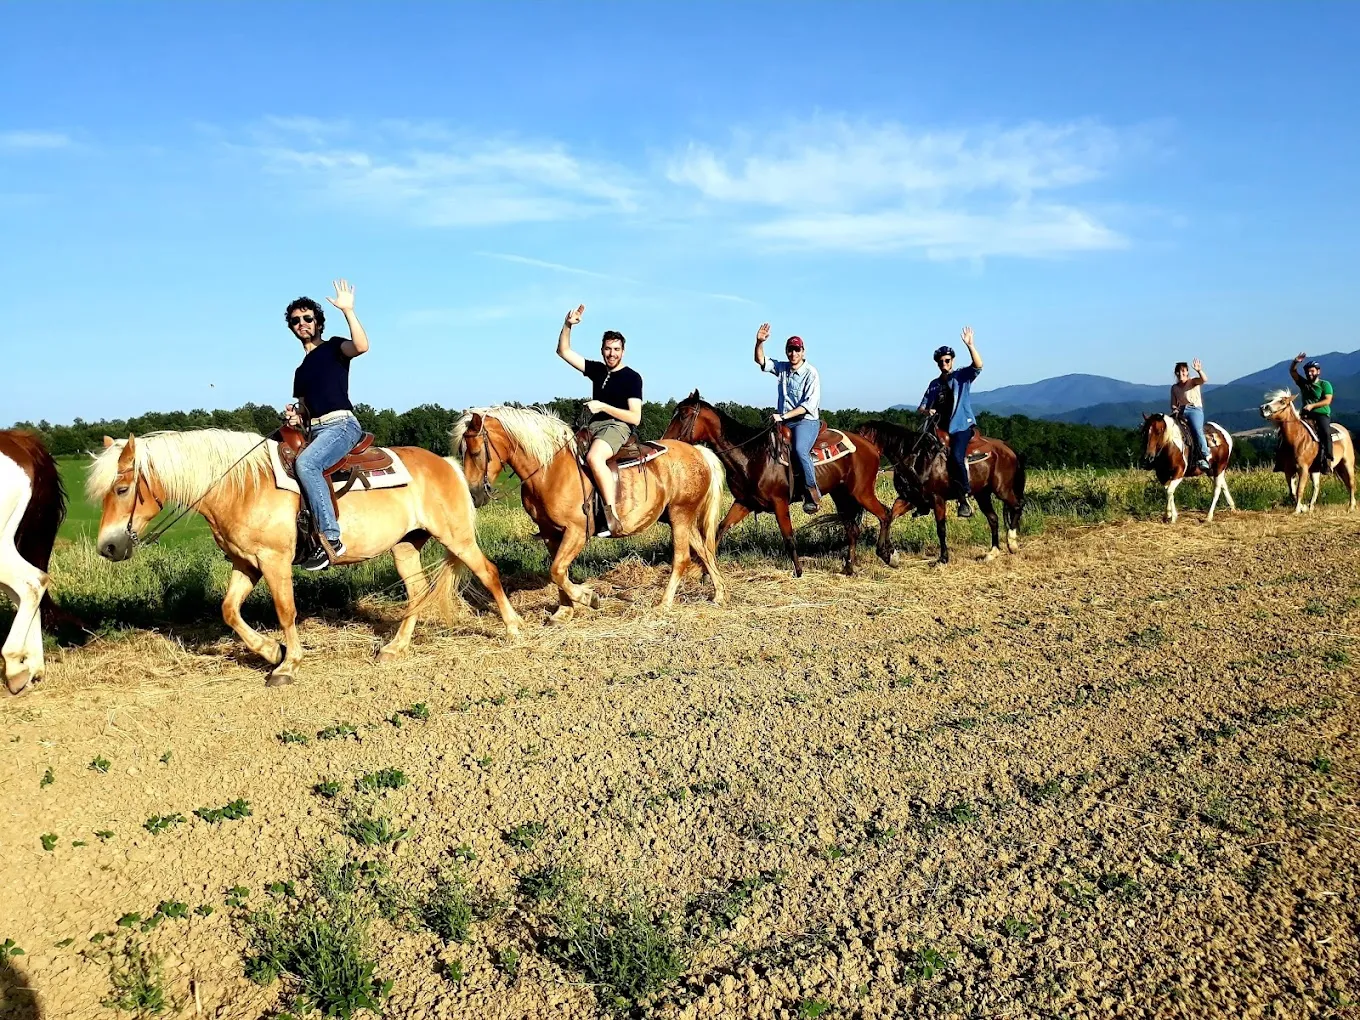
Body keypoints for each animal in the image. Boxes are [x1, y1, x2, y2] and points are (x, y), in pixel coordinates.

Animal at [87, 429, 522, 685]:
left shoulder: (274, 560)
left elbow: (285, 610)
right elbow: (229, 610)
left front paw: (287, 663)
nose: (108, 547)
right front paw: (270, 651)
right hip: (405, 546)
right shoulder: (246, 563)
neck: (242, 486)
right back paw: (395, 649)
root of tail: (444, 464)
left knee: (488, 572)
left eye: (122, 489)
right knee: (416, 594)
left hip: (457, 537)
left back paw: (514, 629)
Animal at [451, 406, 726, 621]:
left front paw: (587, 597)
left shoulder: (576, 532)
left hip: (680, 515)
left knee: (681, 558)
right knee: (704, 550)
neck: (551, 470)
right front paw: (564, 611)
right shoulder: (550, 532)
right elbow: (558, 571)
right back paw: (719, 593)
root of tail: (698, 452)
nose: (473, 494)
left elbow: (557, 571)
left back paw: (664, 604)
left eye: (475, 452)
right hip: (677, 517)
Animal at [662, 391, 895, 577]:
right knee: (852, 528)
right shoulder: (744, 502)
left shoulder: (779, 502)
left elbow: (789, 536)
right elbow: (720, 529)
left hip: (861, 492)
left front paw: (799, 571)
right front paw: (704, 571)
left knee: (885, 514)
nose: (666, 443)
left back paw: (887, 554)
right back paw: (848, 567)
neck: (752, 455)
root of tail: (870, 446)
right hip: (842, 495)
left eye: (683, 415)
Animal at [855, 418, 1026, 565]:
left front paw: (943, 558)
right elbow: (889, 516)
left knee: (1018, 506)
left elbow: (941, 529)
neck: (916, 459)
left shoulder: (937, 499)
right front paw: (887, 554)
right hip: (982, 494)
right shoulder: (908, 499)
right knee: (993, 519)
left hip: (1002, 489)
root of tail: (1006, 447)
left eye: (862, 440)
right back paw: (993, 552)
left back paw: (1012, 543)